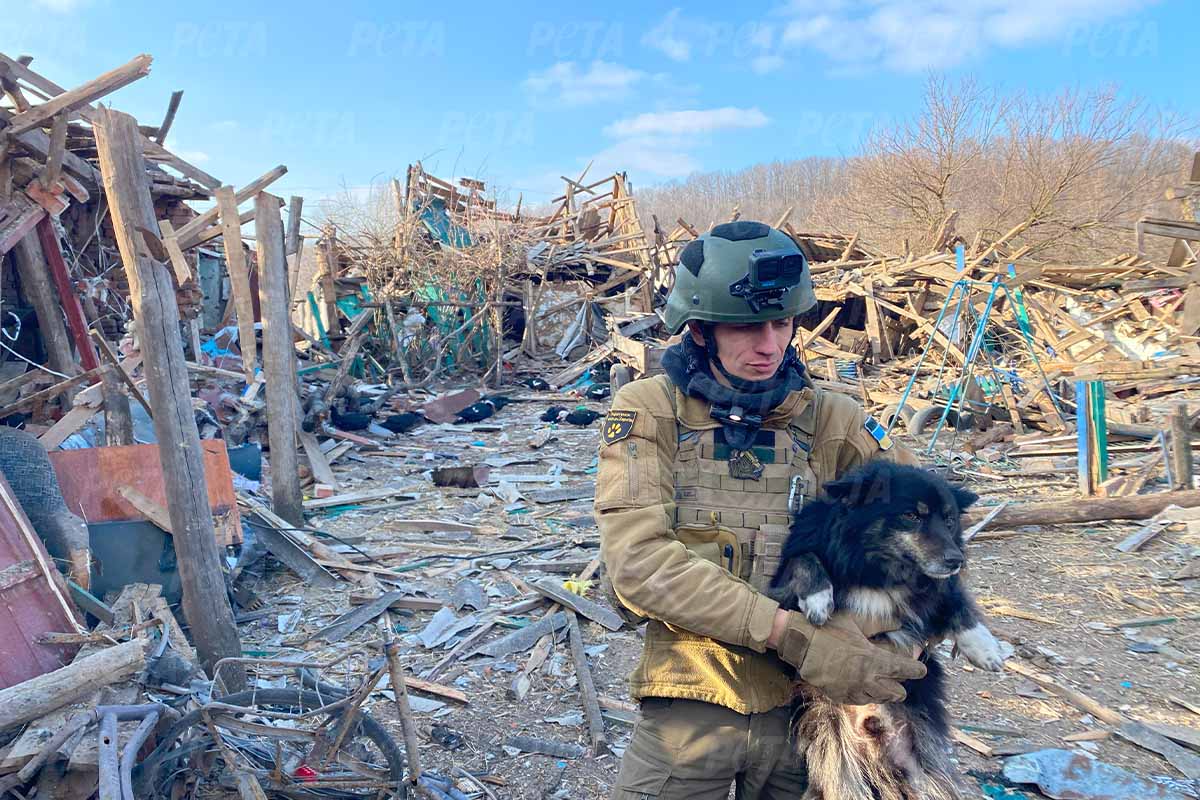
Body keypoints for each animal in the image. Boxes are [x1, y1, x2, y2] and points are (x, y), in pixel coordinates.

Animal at [768, 460, 1003, 800]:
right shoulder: (784, 584)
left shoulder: (935, 593)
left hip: (920, 760)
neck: (880, 571)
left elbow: (957, 600)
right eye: (911, 515)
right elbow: (804, 559)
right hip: (833, 749)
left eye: (949, 520)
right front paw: (819, 599)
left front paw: (985, 648)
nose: (955, 560)